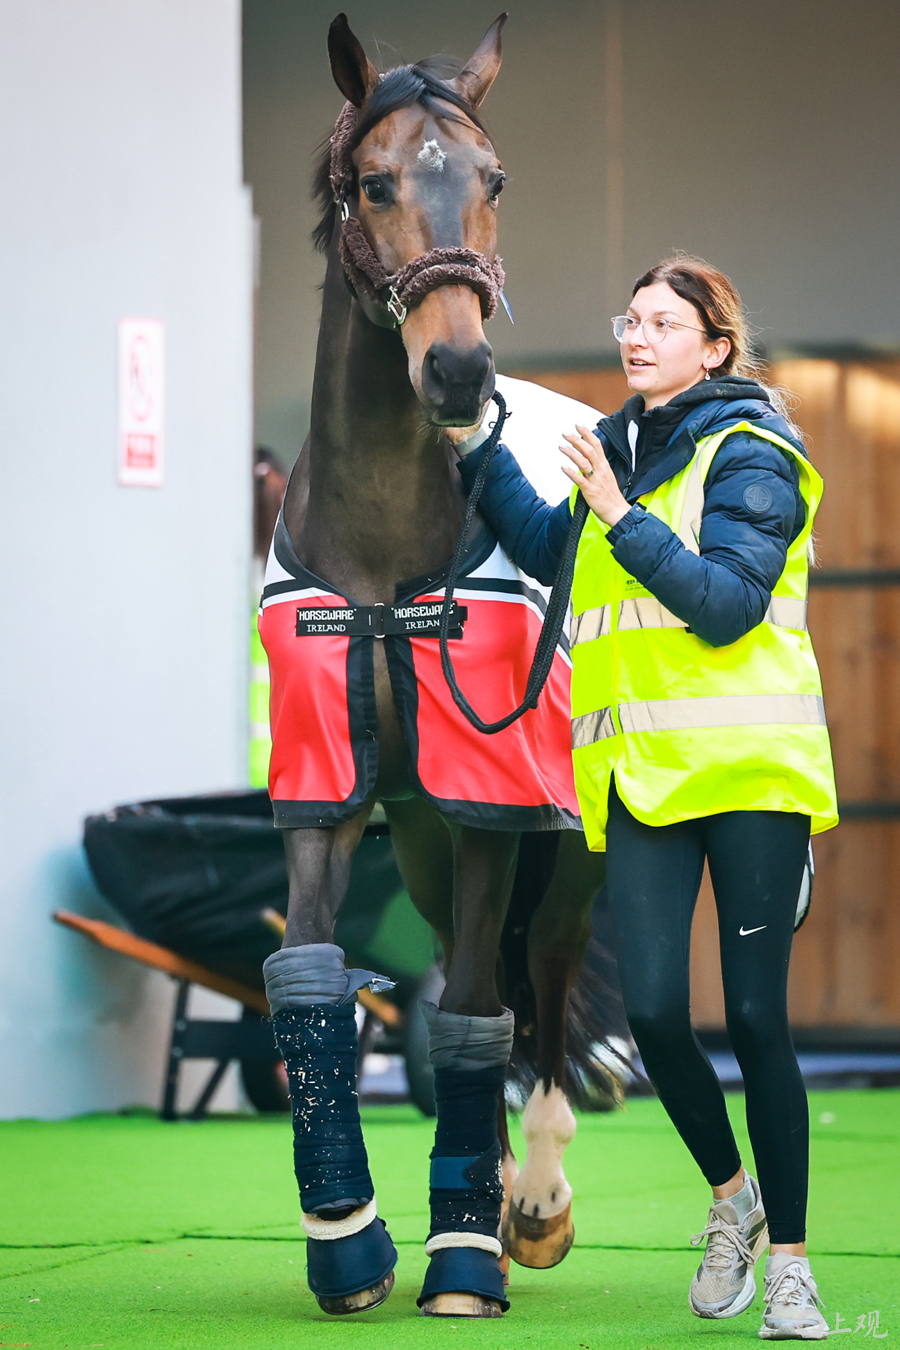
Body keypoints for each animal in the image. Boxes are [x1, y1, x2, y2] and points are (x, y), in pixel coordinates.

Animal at [258, 12, 612, 1319]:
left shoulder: (492, 803)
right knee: (488, 983)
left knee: (541, 979)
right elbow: (314, 977)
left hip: (564, 832)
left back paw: (533, 1205)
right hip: (415, 837)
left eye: (493, 179)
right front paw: (348, 1241)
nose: (457, 373)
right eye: (374, 183)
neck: (379, 564)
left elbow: (470, 1003)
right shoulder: (329, 790)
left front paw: (467, 1257)